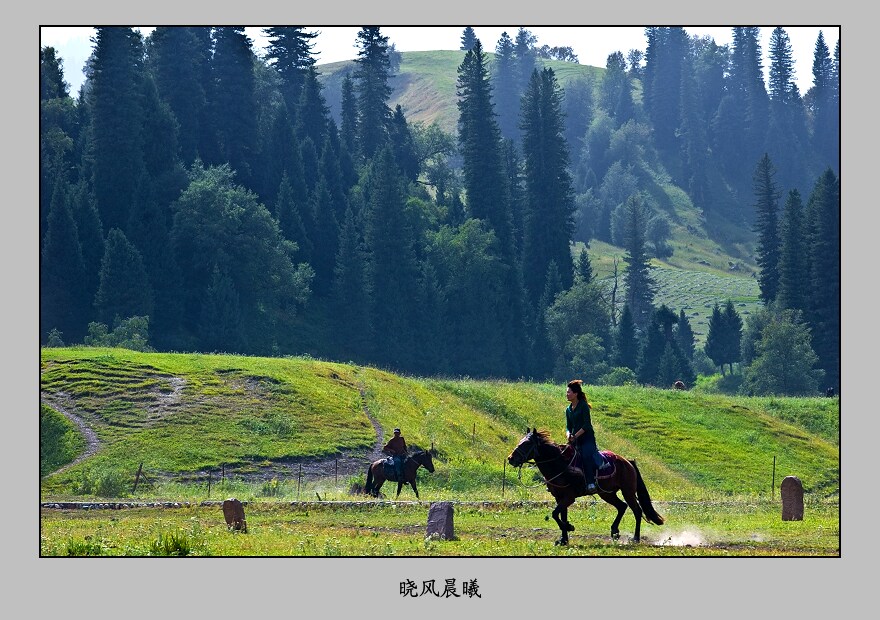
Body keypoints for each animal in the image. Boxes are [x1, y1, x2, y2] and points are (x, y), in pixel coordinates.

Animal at [506, 428, 664, 544]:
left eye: (526, 444)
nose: (510, 459)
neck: (560, 465)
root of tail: (628, 462)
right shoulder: (560, 497)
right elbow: (561, 515)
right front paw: (563, 539)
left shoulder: (569, 497)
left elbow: (555, 514)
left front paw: (569, 527)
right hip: (606, 493)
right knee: (622, 506)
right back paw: (615, 531)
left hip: (628, 491)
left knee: (637, 511)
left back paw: (635, 538)